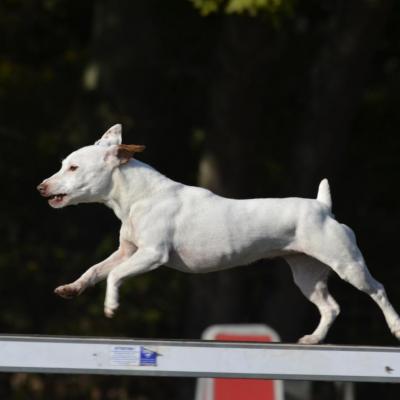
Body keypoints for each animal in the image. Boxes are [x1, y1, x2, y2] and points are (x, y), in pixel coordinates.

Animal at [37, 124, 400, 344]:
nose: (41, 187)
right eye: (64, 164)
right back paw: (312, 339)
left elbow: (114, 277)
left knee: (379, 290)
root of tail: (323, 207)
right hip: (307, 274)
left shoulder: (152, 255)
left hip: (347, 265)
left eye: (74, 168)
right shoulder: (126, 251)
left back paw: (395, 326)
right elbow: (95, 270)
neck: (137, 197)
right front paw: (71, 288)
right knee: (331, 308)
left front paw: (111, 306)